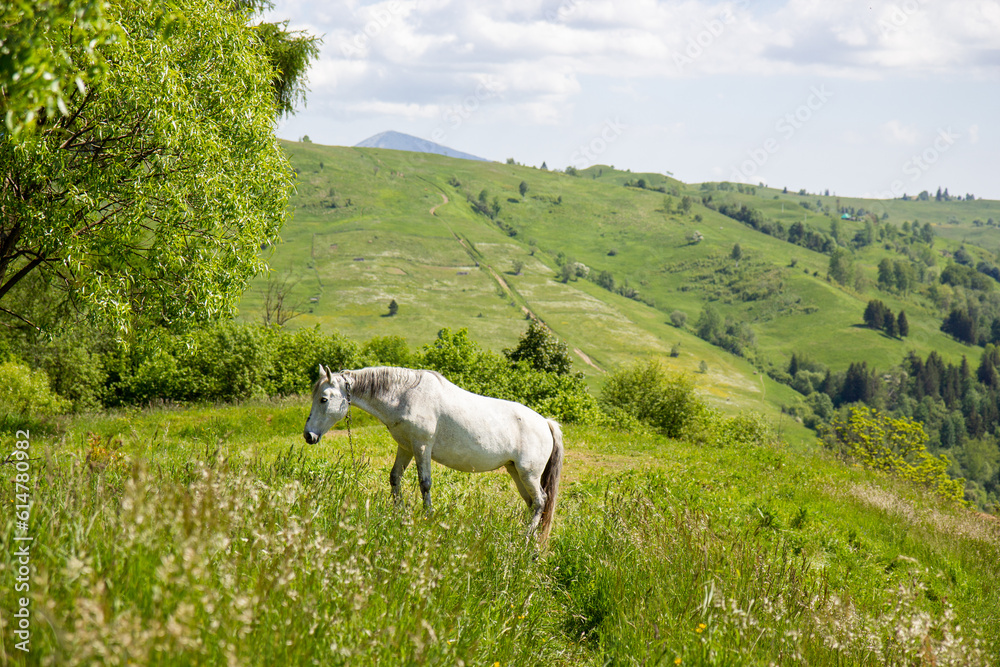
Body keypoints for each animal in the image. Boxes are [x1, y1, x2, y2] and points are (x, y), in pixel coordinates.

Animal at [303, 365, 564, 542]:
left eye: (323, 399)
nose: (308, 435)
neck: (405, 395)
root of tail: (546, 423)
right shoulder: (406, 447)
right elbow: (395, 478)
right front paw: (398, 513)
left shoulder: (421, 446)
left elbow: (425, 483)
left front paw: (428, 517)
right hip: (515, 472)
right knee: (533, 503)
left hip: (528, 473)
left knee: (541, 501)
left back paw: (525, 537)